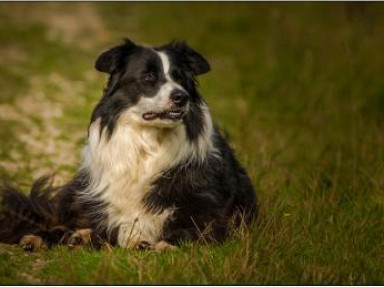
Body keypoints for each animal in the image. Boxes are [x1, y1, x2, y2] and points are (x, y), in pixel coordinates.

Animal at [0, 38, 258, 252]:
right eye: (148, 77)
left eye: (180, 78)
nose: (181, 97)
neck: (148, 144)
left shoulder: (210, 213)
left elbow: (191, 230)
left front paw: (165, 244)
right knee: (60, 219)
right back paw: (45, 236)